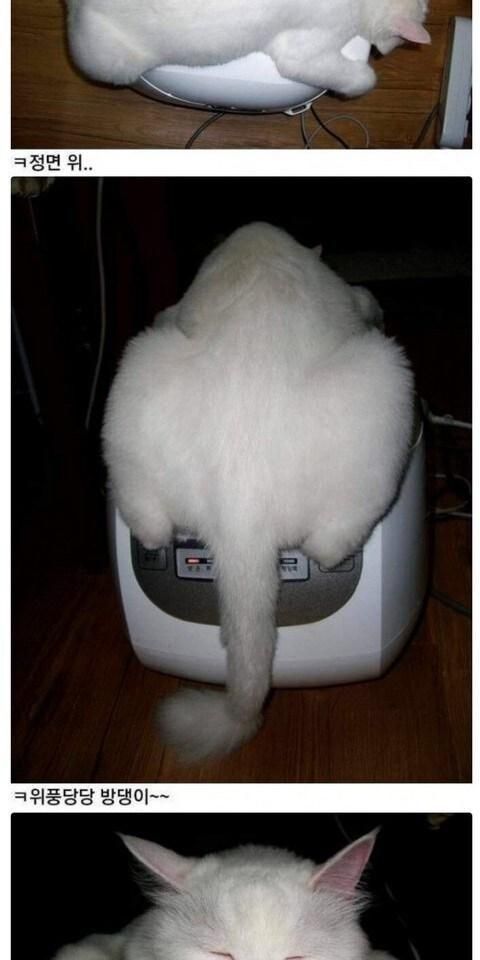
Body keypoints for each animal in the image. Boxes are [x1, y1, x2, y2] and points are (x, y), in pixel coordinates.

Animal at [66, 0, 430, 96]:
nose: (387, 51)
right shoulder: (301, 52)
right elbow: (361, 79)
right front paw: (366, 76)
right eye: (401, 40)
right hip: (111, 63)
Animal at [103, 222, 414, 761]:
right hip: (387, 375)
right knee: (332, 542)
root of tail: (240, 509)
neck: (257, 246)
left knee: (150, 521)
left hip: (136, 376)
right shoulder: (349, 294)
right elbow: (365, 298)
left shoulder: (173, 311)